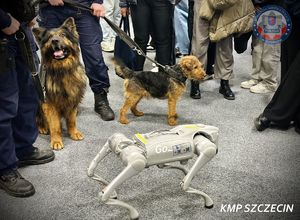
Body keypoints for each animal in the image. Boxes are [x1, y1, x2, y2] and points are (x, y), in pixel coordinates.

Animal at [33, 18, 86, 150]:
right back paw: (43, 127)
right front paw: (56, 140)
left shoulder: (73, 100)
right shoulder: (50, 104)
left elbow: (72, 121)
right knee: (38, 120)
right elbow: (55, 125)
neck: (62, 69)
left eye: (62, 35)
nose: (55, 41)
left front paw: (73, 133)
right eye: (50, 37)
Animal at [86, 124, 218, 218]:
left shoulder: (162, 162)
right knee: (104, 194)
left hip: (115, 142)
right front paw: (208, 201)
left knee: (90, 171)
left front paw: (186, 171)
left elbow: (168, 167)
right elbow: (185, 184)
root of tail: (124, 147)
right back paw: (132, 212)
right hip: (137, 160)